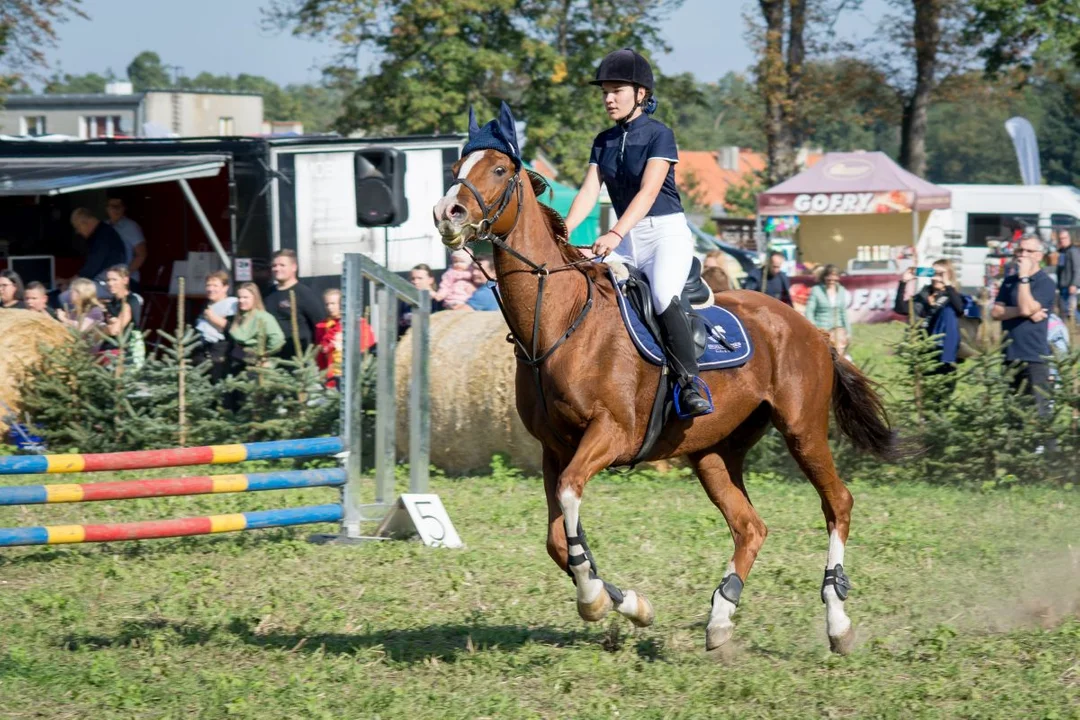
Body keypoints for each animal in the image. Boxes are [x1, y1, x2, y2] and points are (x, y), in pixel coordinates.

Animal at [429, 117, 894, 651]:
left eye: (499, 170)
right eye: (456, 169)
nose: (447, 213)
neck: (560, 320)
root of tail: (809, 327)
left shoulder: (611, 435)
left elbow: (570, 501)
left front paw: (594, 599)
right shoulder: (554, 448)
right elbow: (560, 541)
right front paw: (629, 603)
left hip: (802, 429)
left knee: (837, 503)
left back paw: (837, 621)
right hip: (713, 451)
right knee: (749, 526)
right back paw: (720, 617)